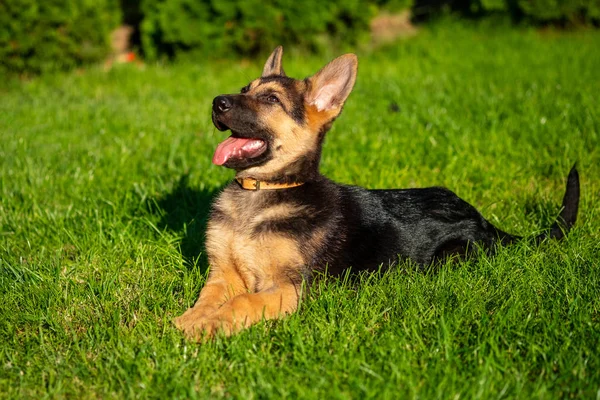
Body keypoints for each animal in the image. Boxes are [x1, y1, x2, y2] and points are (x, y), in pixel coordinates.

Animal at [175, 47, 580, 340]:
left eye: (271, 100)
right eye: (245, 90)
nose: (217, 102)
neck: (262, 192)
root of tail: (485, 221)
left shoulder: (291, 289)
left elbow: (243, 301)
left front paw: (209, 326)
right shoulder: (223, 274)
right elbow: (208, 298)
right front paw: (188, 319)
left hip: (451, 259)